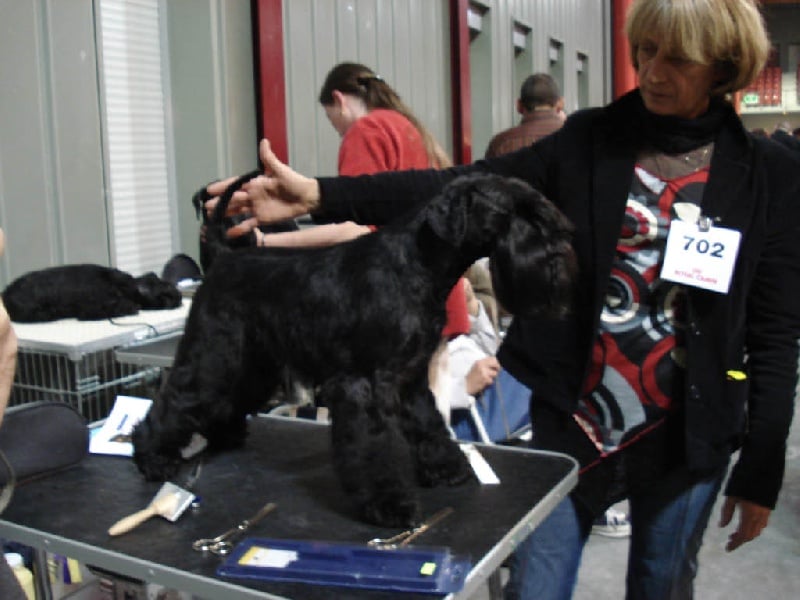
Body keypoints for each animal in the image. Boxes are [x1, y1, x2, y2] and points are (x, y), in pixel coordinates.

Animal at [133, 173, 577, 526]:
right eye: (514, 212)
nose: (562, 254)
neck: (418, 264)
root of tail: (223, 257)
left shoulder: (410, 377)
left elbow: (430, 423)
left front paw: (447, 468)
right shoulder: (365, 385)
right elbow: (374, 448)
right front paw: (389, 504)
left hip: (251, 363)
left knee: (226, 400)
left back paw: (226, 436)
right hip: (213, 354)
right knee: (176, 400)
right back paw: (152, 457)